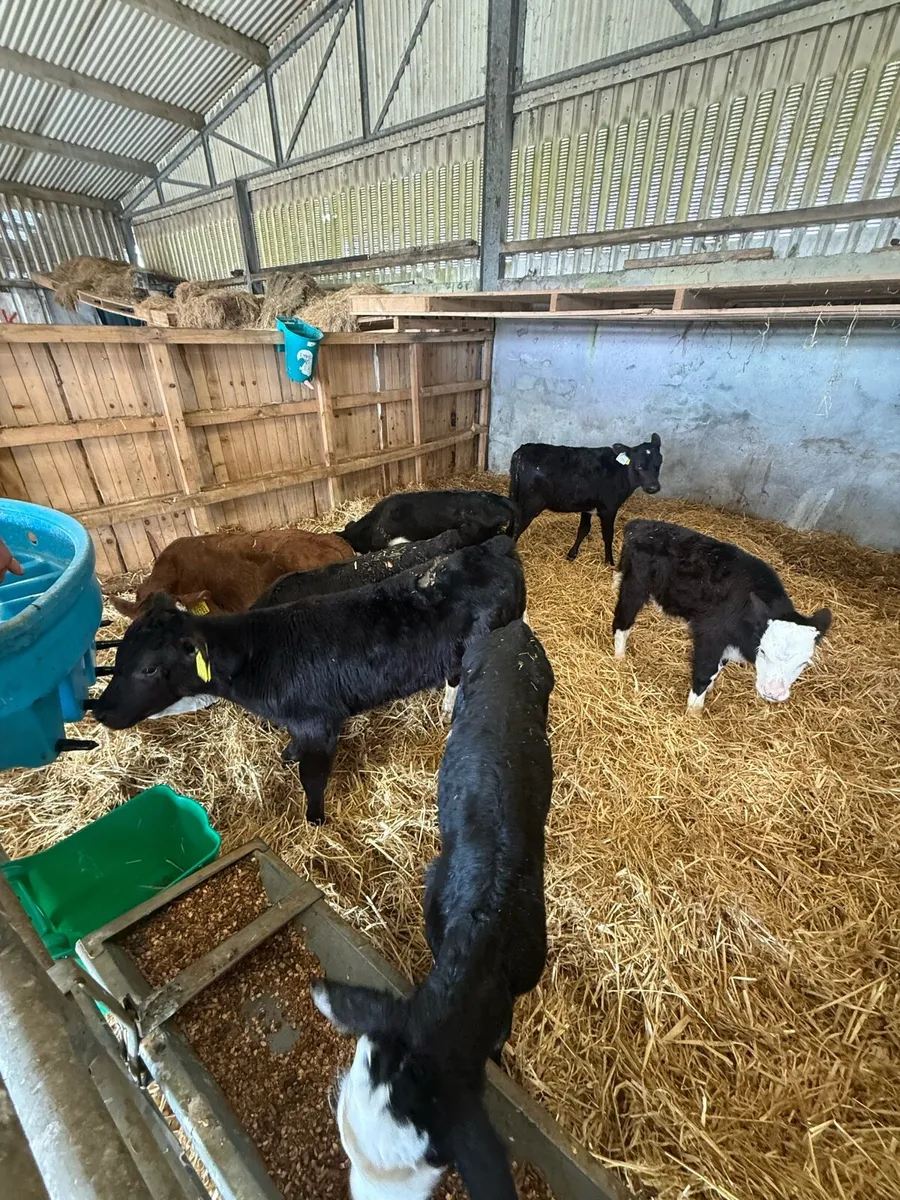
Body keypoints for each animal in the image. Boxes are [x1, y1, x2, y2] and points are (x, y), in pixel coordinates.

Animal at [509, 434, 662, 563]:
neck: (621, 472)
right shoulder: (609, 509)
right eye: (639, 465)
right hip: (530, 505)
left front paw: (572, 554)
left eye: (659, 463)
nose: (653, 487)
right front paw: (609, 562)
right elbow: (608, 535)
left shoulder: (587, 506)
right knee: (515, 530)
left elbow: (583, 529)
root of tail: (523, 451)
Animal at [612, 519, 833, 711]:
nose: (773, 692)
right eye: (763, 651)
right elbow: (704, 673)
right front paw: (693, 714)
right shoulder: (710, 636)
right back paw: (619, 657)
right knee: (622, 621)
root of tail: (640, 524)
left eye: (803, 663)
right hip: (635, 587)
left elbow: (716, 670)